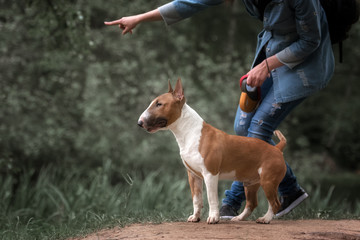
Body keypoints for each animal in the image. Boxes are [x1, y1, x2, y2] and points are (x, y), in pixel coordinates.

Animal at [138, 79, 286, 225]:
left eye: (159, 104)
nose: (139, 122)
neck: (190, 132)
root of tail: (277, 148)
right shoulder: (193, 175)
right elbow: (196, 199)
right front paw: (195, 217)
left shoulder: (210, 174)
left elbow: (211, 198)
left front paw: (214, 218)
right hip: (250, 183)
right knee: (252, 203)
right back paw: (239, 218)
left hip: (268, 181)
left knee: (275, 203)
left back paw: (265, 219)